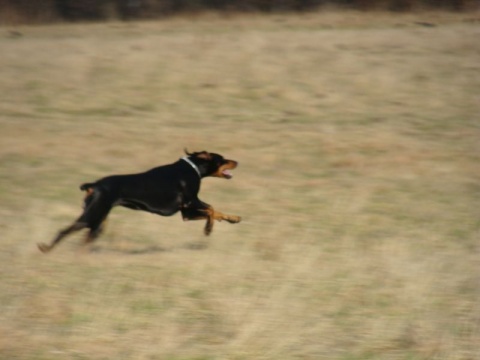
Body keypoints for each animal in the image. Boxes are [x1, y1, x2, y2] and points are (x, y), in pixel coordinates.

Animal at [37, 150, 242, 253]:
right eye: (222, 159)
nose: (237, 161)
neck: (192, 168)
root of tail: (93, 185)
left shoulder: (186, 213)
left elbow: (215, 211)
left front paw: (234, 218)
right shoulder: (191, 204)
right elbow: (211, 210)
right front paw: (208, 230)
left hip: (98, 221)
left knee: (85, 241)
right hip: (92, 216)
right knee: (64, 231)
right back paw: (46, 249)